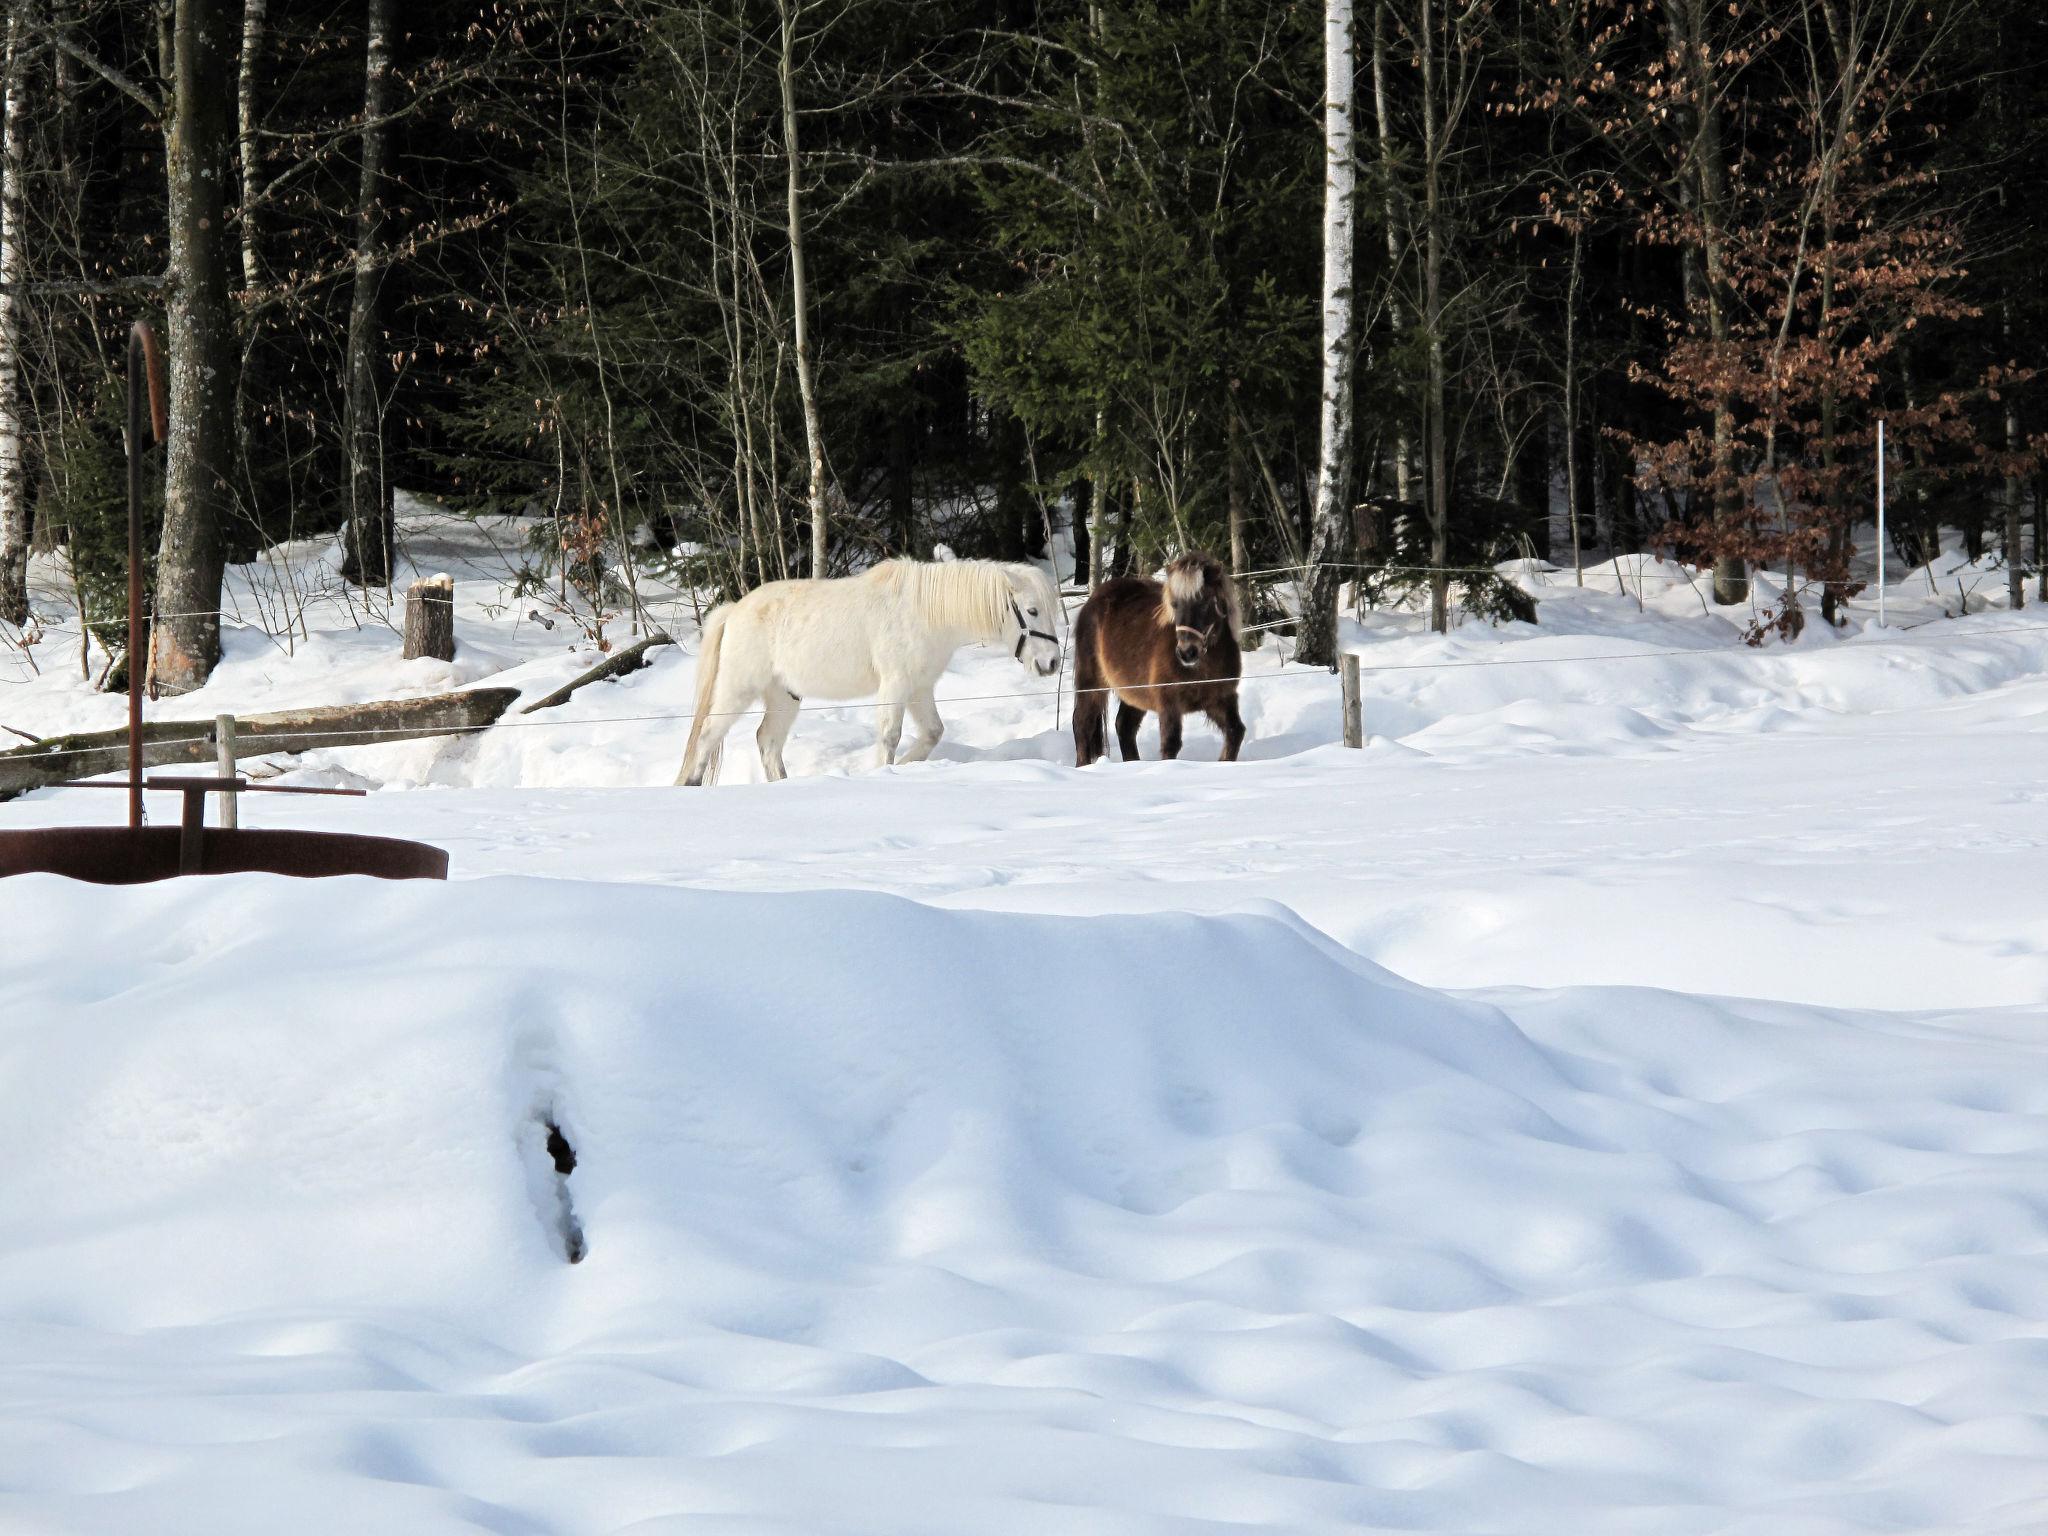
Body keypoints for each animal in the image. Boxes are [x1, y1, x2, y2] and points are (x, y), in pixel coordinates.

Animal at [675, 561, 1064, 786]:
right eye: (1032, 610)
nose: (1052, 664)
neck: (925, 612)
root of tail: (734, 610)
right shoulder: (895, 684)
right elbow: (890, 736)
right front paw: (883, 771)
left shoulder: (920, 688)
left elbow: (933, 732)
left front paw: (905, 766)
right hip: (737, 690)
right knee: (707, 737)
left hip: (785, 696)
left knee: (768, 742)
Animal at [1073, 552, 1245, 770]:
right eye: (1175, 604)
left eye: (1206, 602)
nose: (1187, 653)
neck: (1202, 667)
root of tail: (1093, 599)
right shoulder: (1169, 704)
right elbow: (1170, 744)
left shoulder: (1221, 699)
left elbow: (1235, 731)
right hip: (1091, 684)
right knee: (1082, 724)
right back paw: (1082, 767)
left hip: (1134, 692)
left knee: (1124, 726)